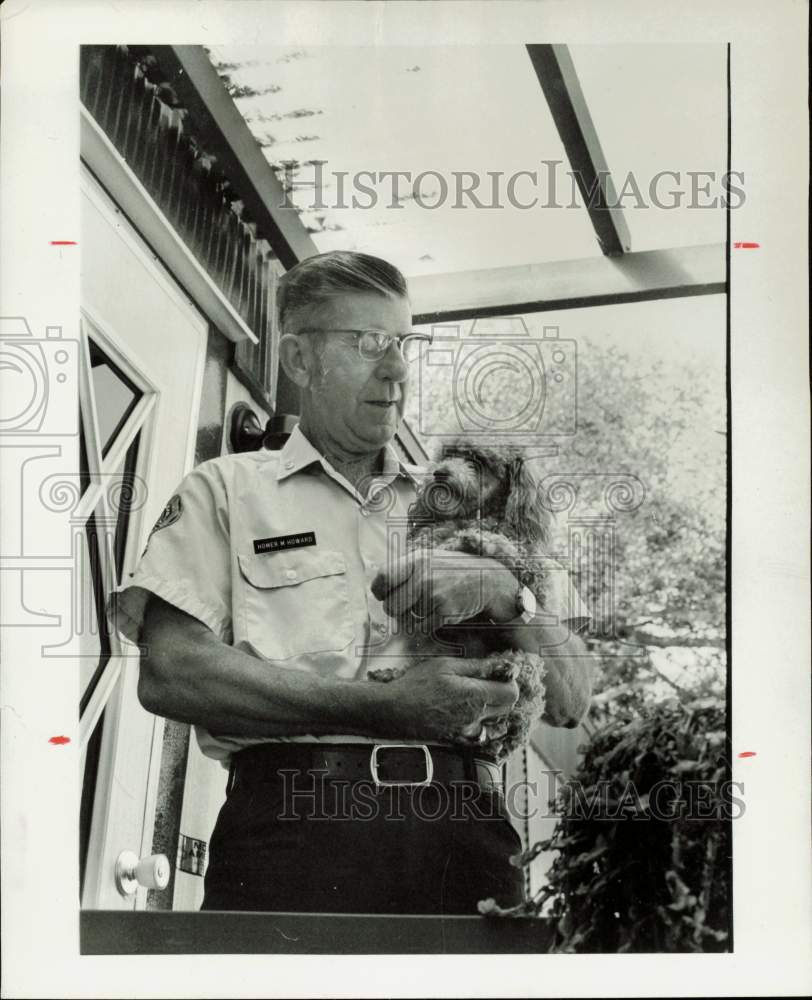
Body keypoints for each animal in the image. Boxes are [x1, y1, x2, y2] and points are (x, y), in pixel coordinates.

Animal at [370, 442, 552, 760]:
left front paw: (476, 540)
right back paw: (390, 674)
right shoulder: (427, 537)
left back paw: (500, 670)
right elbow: (432, 539)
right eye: (448, 454)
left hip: (529, 663)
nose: (441, 472)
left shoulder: (533, 572)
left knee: (513, 704)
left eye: (478, 461)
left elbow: (507, 549)